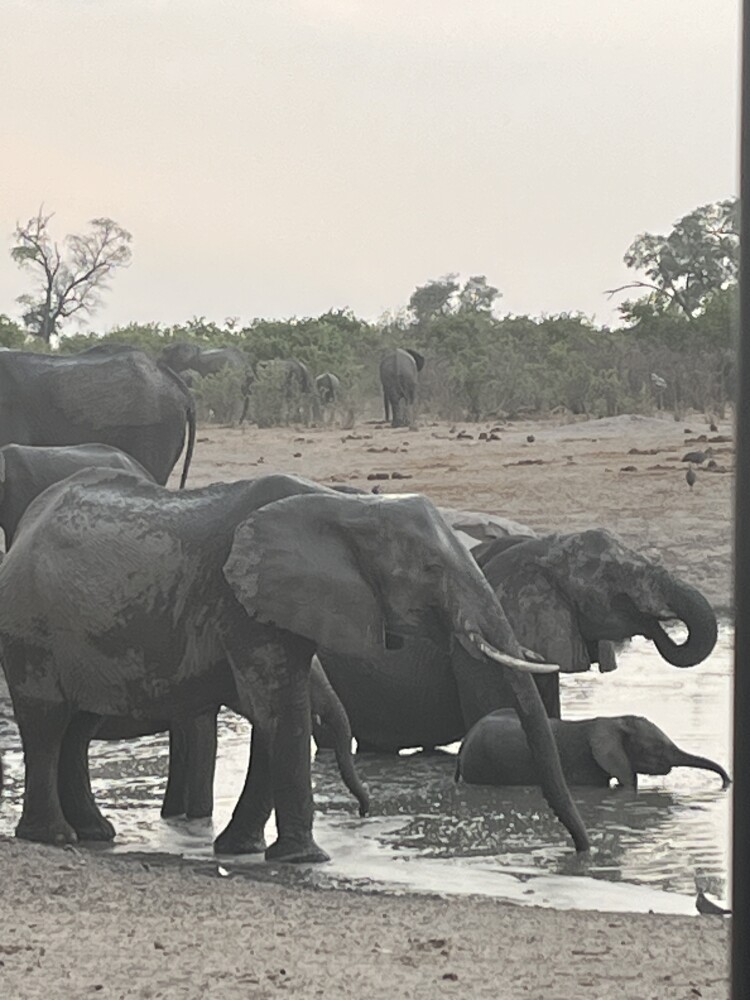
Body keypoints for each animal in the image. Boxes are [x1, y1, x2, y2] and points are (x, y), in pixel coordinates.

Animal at [0, 471, 589, 858]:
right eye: (429, 569)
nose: (582, 853)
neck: (343, 507)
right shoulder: (240, 602)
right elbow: (280, 709)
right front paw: (303, 860)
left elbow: (277, 712)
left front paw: (241, 851)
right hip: (31, 625)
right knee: (49, 724)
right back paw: (54, 837)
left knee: (79, 726)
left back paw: (96, 835)